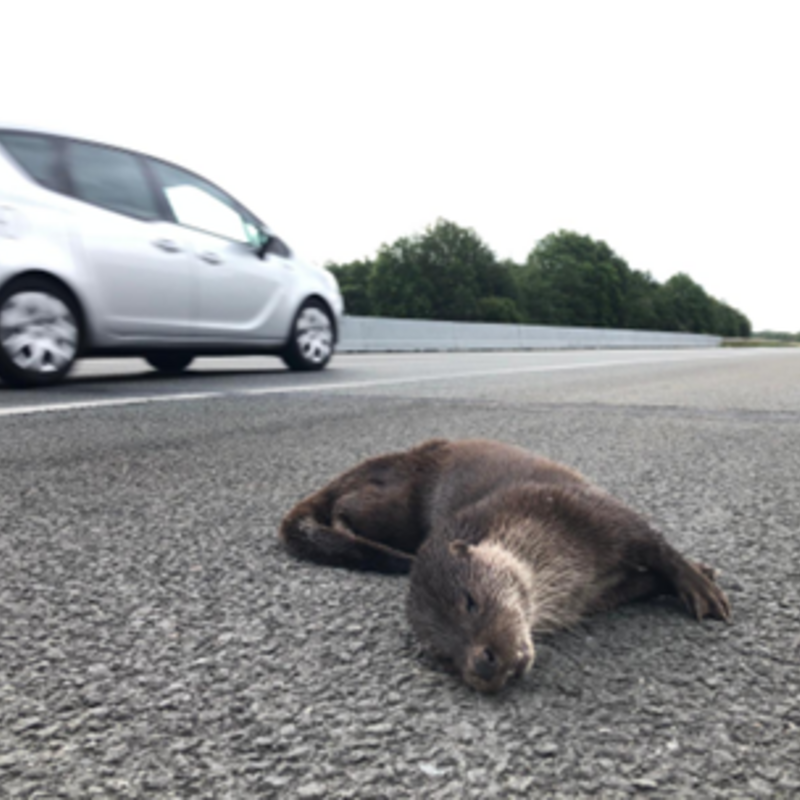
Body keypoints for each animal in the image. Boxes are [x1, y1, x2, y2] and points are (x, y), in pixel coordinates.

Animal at [280, 438, 730, 693]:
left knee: (346, 506)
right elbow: (647, 579)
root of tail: (397, 457)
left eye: (470, 602)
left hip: (394, 503)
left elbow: (655, 544)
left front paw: (699, 583)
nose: (483, 663)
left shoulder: (590, 510)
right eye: (443, 655)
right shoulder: (594, 596)